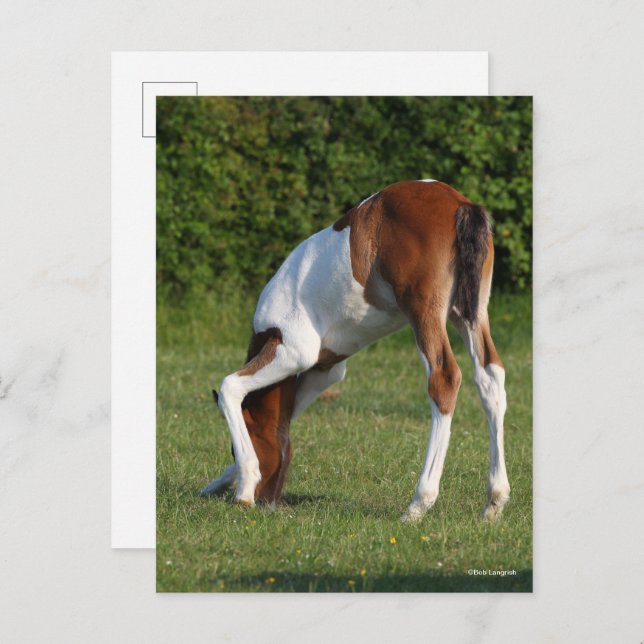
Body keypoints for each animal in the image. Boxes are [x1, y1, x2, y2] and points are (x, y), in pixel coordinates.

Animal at [201, 179, 510, 523]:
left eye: (233, 447)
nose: (269, 502)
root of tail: (459, 204)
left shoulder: (293, 351)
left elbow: (231, 386)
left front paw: (243, 490)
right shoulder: (325, 369)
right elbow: (288, 416)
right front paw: (220, 484)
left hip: (424, 313)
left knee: (444, 378)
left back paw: (419, 503)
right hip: (468, 313)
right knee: (490, 378)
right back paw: (494, 501)